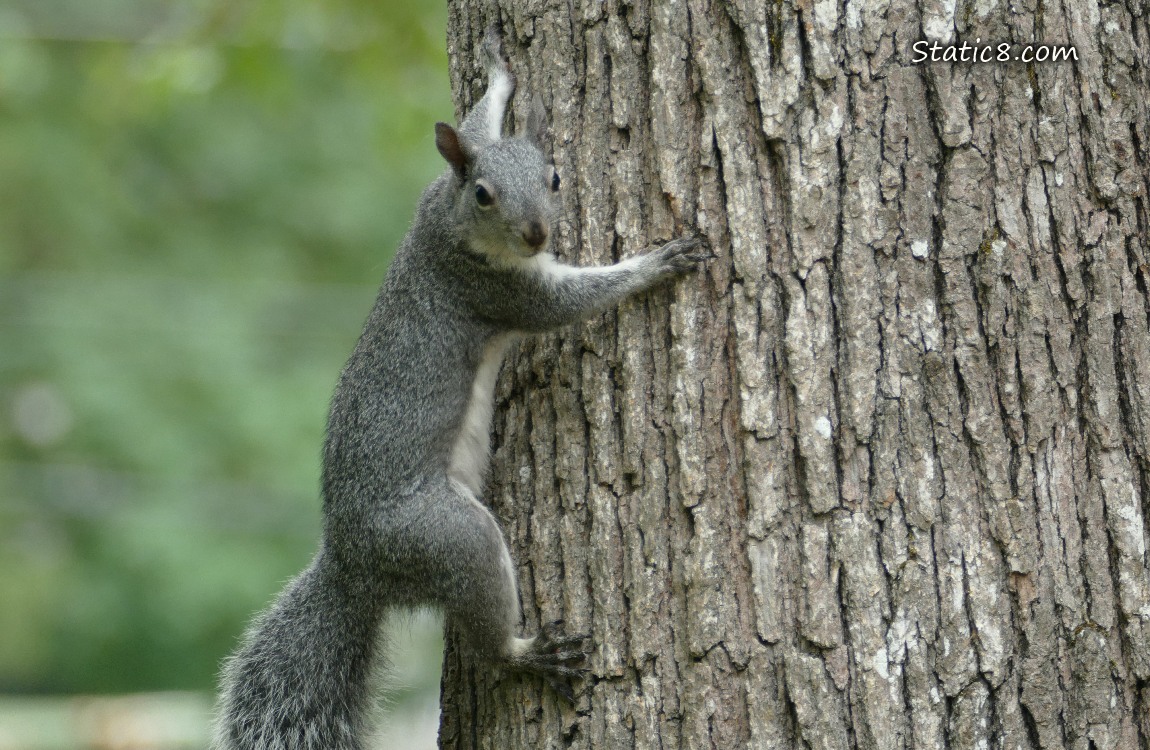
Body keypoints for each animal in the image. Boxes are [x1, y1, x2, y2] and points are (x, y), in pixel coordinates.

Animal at [212, 26, 710, 750]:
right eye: (483, 194)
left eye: (554, 176)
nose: (537, 232)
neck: (447, 223)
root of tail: (355, 568)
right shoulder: (498, 290)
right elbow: (571, 301)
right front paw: (657, 263)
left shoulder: (430, 191)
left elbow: (479, 119)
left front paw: (500, 73)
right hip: (451, 539)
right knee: (485, 630)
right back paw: (528, 654)